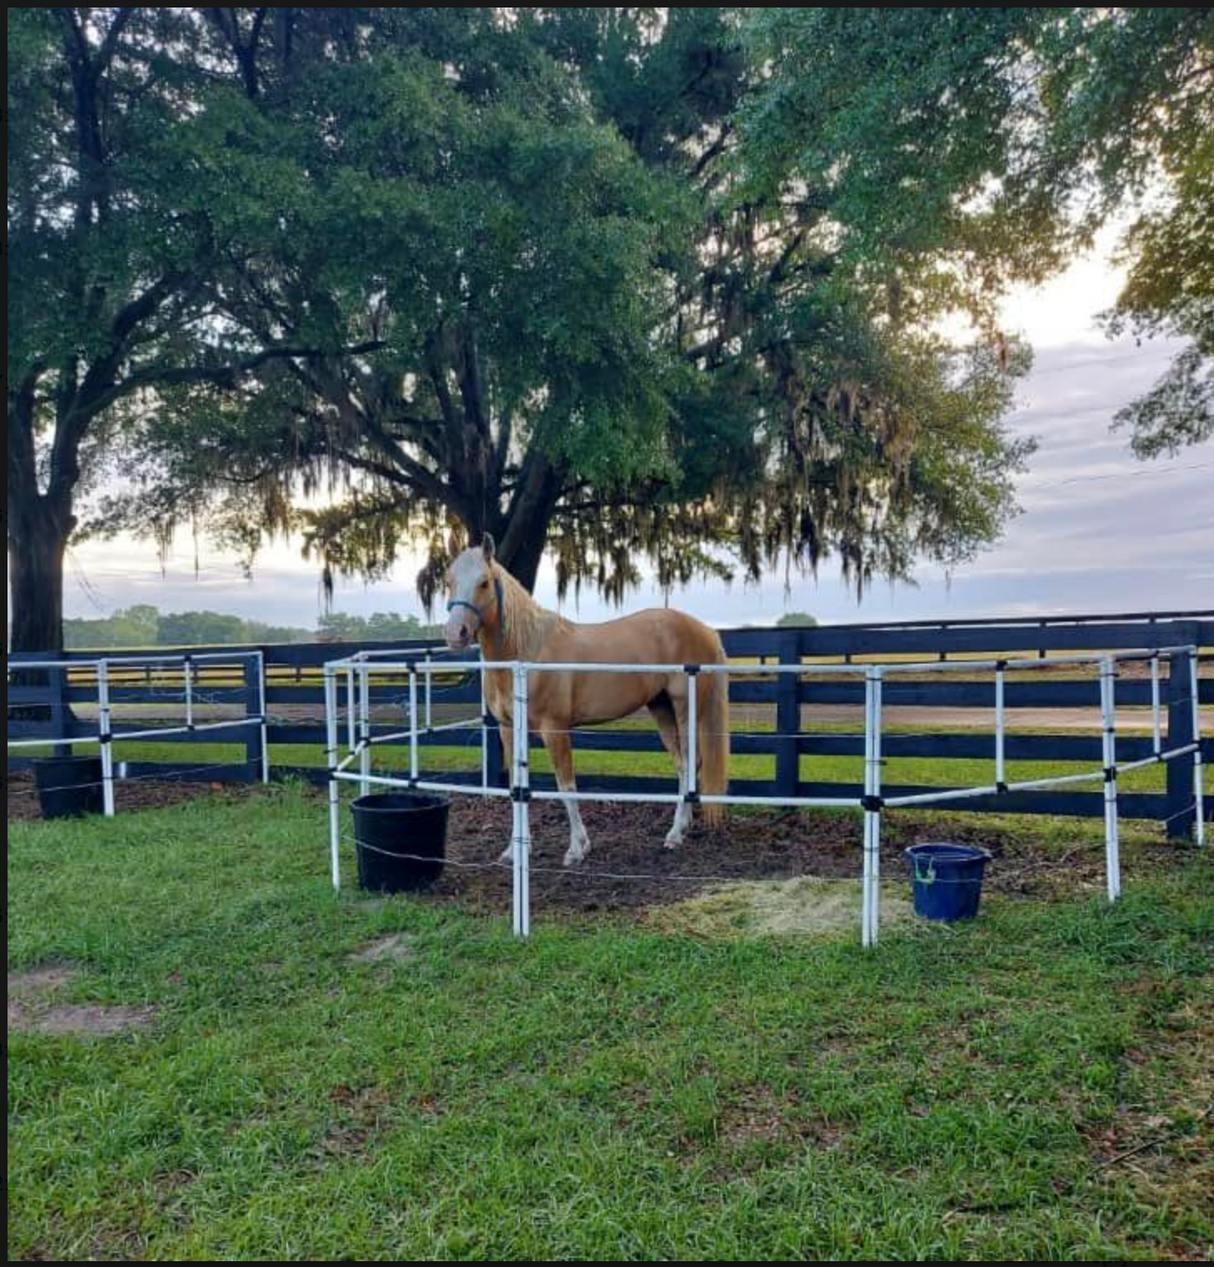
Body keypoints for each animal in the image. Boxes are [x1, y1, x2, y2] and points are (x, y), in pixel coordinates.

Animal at [443, 534, 730, 865]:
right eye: (449, 580)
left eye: (484, 582)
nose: (455, 633)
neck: (526, 653)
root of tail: (706, 630)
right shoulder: (509, 729)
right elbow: (517, 785)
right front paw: (514, 851)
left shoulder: (554, 728)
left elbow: (566, 786)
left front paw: (577, 849)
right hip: (661, 707)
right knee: (682, 765)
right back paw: (678, 831)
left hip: (685, 709)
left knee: (691, 763)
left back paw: (674, 834)